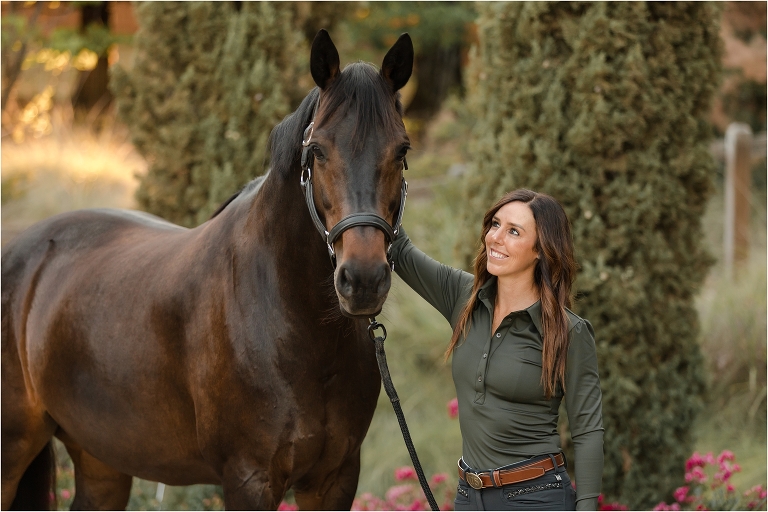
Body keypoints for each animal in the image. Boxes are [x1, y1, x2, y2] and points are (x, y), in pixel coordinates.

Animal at [1, 29, 413, 510]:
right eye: (317, 150)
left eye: (401, 151)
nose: (363, 279)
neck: (296, 323)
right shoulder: (248, 479)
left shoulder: (335, 478)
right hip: (14, 450)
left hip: (101, 458)